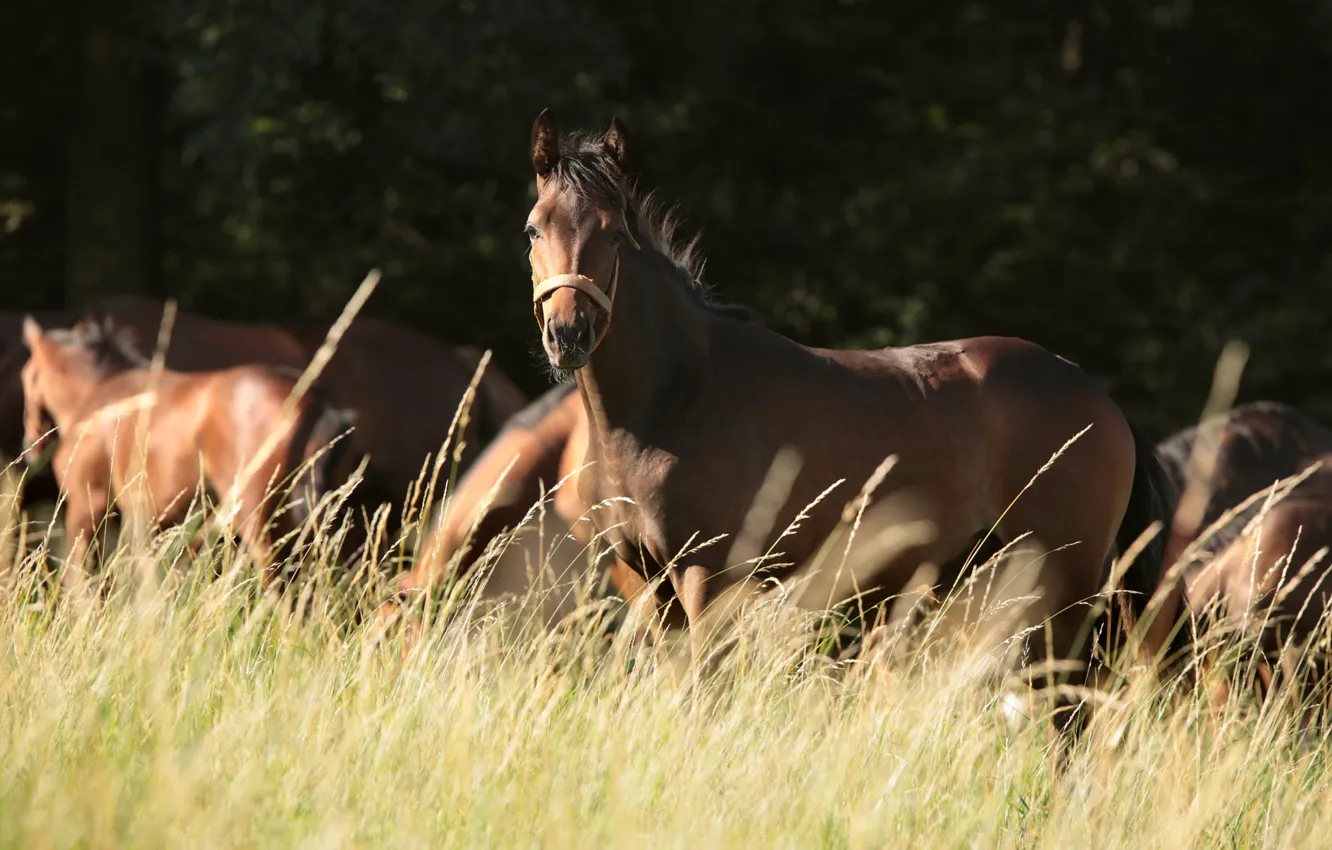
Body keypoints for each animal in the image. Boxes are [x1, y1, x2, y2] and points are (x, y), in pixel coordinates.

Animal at [19, 315, 361, 590]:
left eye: (26, 375)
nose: (31, 445)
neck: (99, 393)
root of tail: (318, 402)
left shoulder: (88, 507)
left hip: (260, 518)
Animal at [521, 110, 1177, 726]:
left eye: (615, 234)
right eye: (534, 227)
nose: (568, 334)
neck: (678, 396)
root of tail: (1099, 398)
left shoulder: (707, 579)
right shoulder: (647, 584)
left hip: (1061, 589)